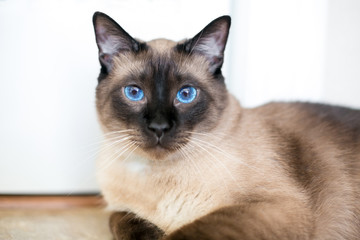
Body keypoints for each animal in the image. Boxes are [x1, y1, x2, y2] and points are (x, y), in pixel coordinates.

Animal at [92, 11, 360, 240]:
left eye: (186, 94)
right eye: (134, 93)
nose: (160, 127)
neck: (157, 178)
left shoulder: (272, 206)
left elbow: (193, 231)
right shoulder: (119, 209)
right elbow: (120, 219)